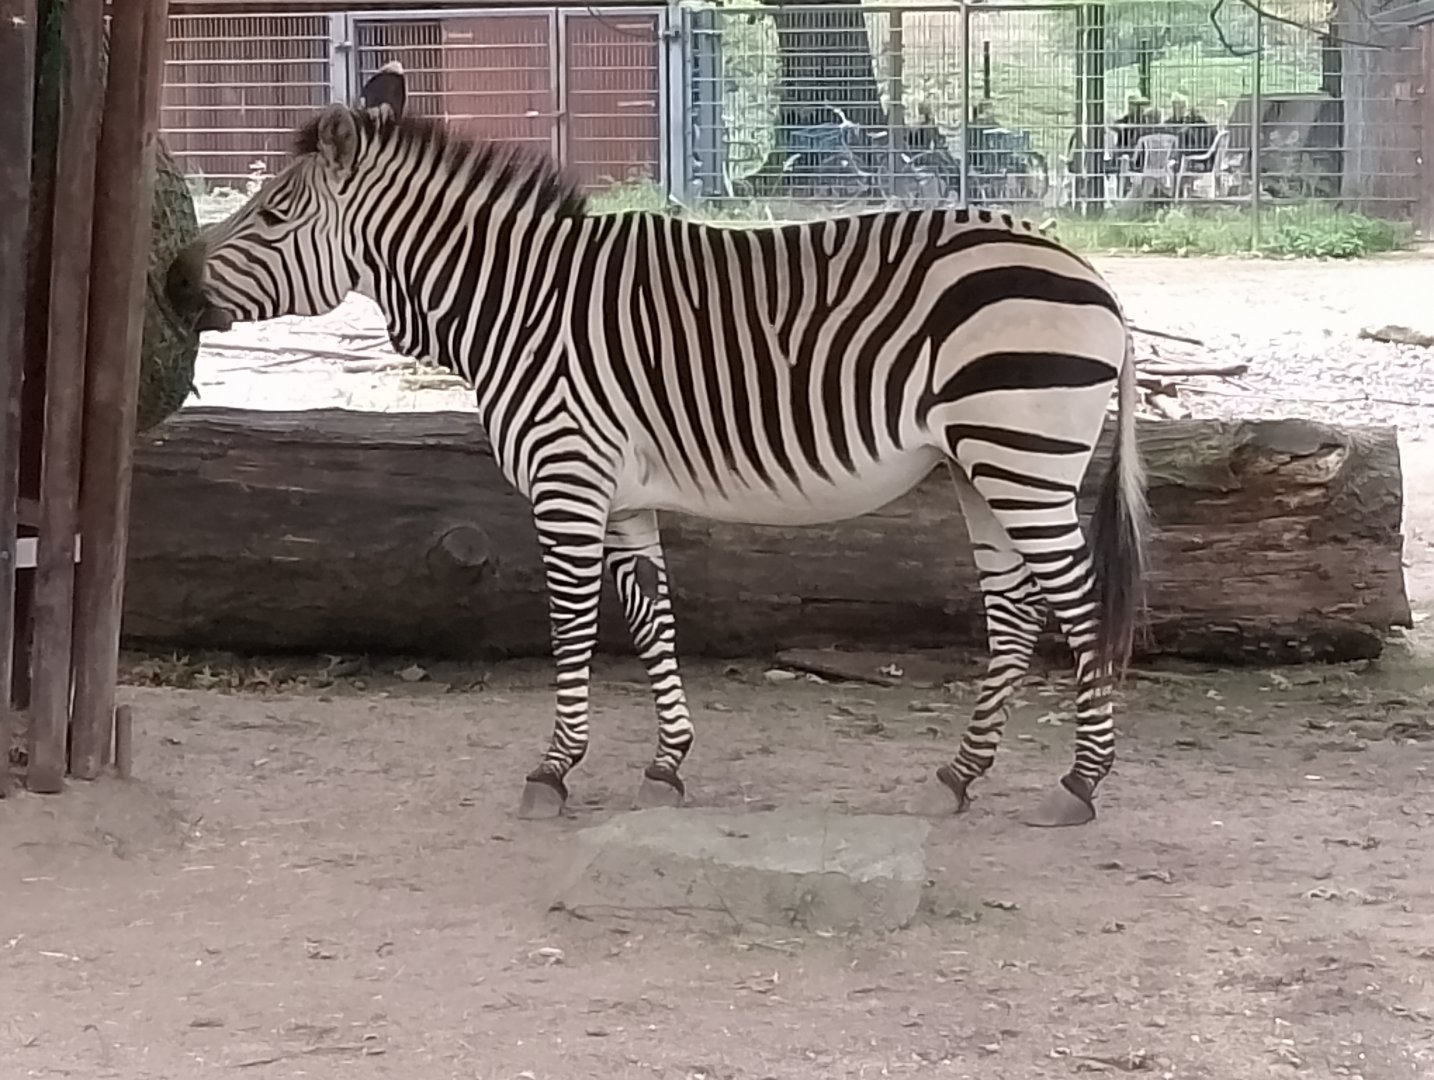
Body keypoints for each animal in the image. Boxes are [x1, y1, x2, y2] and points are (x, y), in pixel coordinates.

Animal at [166, 63, 1148, 829]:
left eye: (273, 214)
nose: (172, 281)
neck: (517, 304)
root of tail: (1092, 275)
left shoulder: (565, 479)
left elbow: (571, 623)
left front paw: (553, 770)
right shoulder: (623, 491)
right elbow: (650, 619)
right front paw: (667, 762)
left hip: (1019, 457)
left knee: (1079, 600)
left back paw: (1081, 783)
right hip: (977, 468)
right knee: (1016, 613)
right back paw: (959, 775)